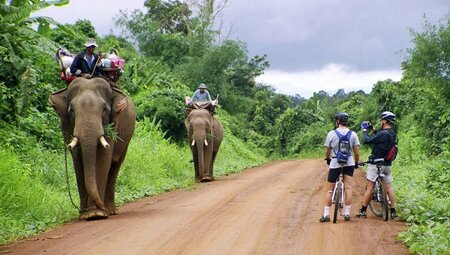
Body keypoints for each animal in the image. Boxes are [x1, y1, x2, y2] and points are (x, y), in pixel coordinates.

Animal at [48, 76, 135, 220]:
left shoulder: (112, 125)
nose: (81, 210)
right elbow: (78, 161)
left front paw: (97, 213)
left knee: (115, 165)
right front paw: (87, 214)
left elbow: (103, 159)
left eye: (104, 109)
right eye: (71, 110)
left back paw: (111, 210)